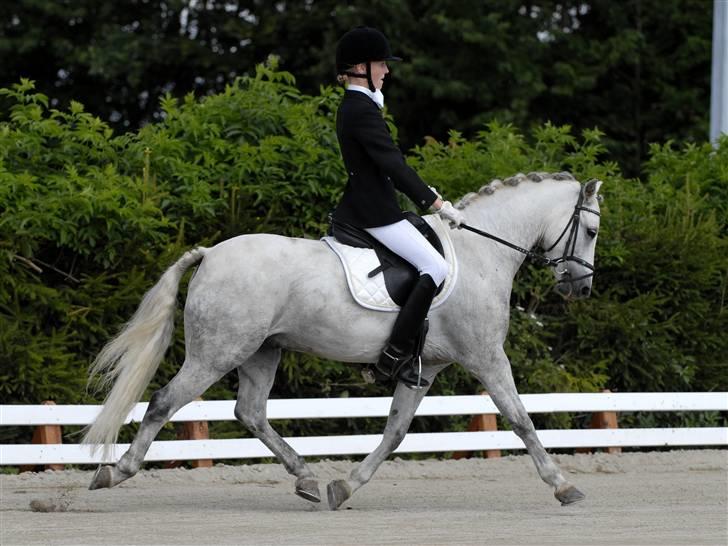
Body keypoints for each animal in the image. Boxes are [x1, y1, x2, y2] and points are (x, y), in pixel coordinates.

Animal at [82, 171, 603, 510]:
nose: (581, 289)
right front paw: (563, 486)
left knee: (250, 412)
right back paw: (115, 472)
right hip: (218, 353)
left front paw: (346, 487)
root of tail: (210, 254)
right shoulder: (487, 357)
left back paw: (308, 479)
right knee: (164, 403)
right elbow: (521, 420)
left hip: (262, 352)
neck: (481, 252)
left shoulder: (425, 370)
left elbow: (395, 432)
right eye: (592, 230)